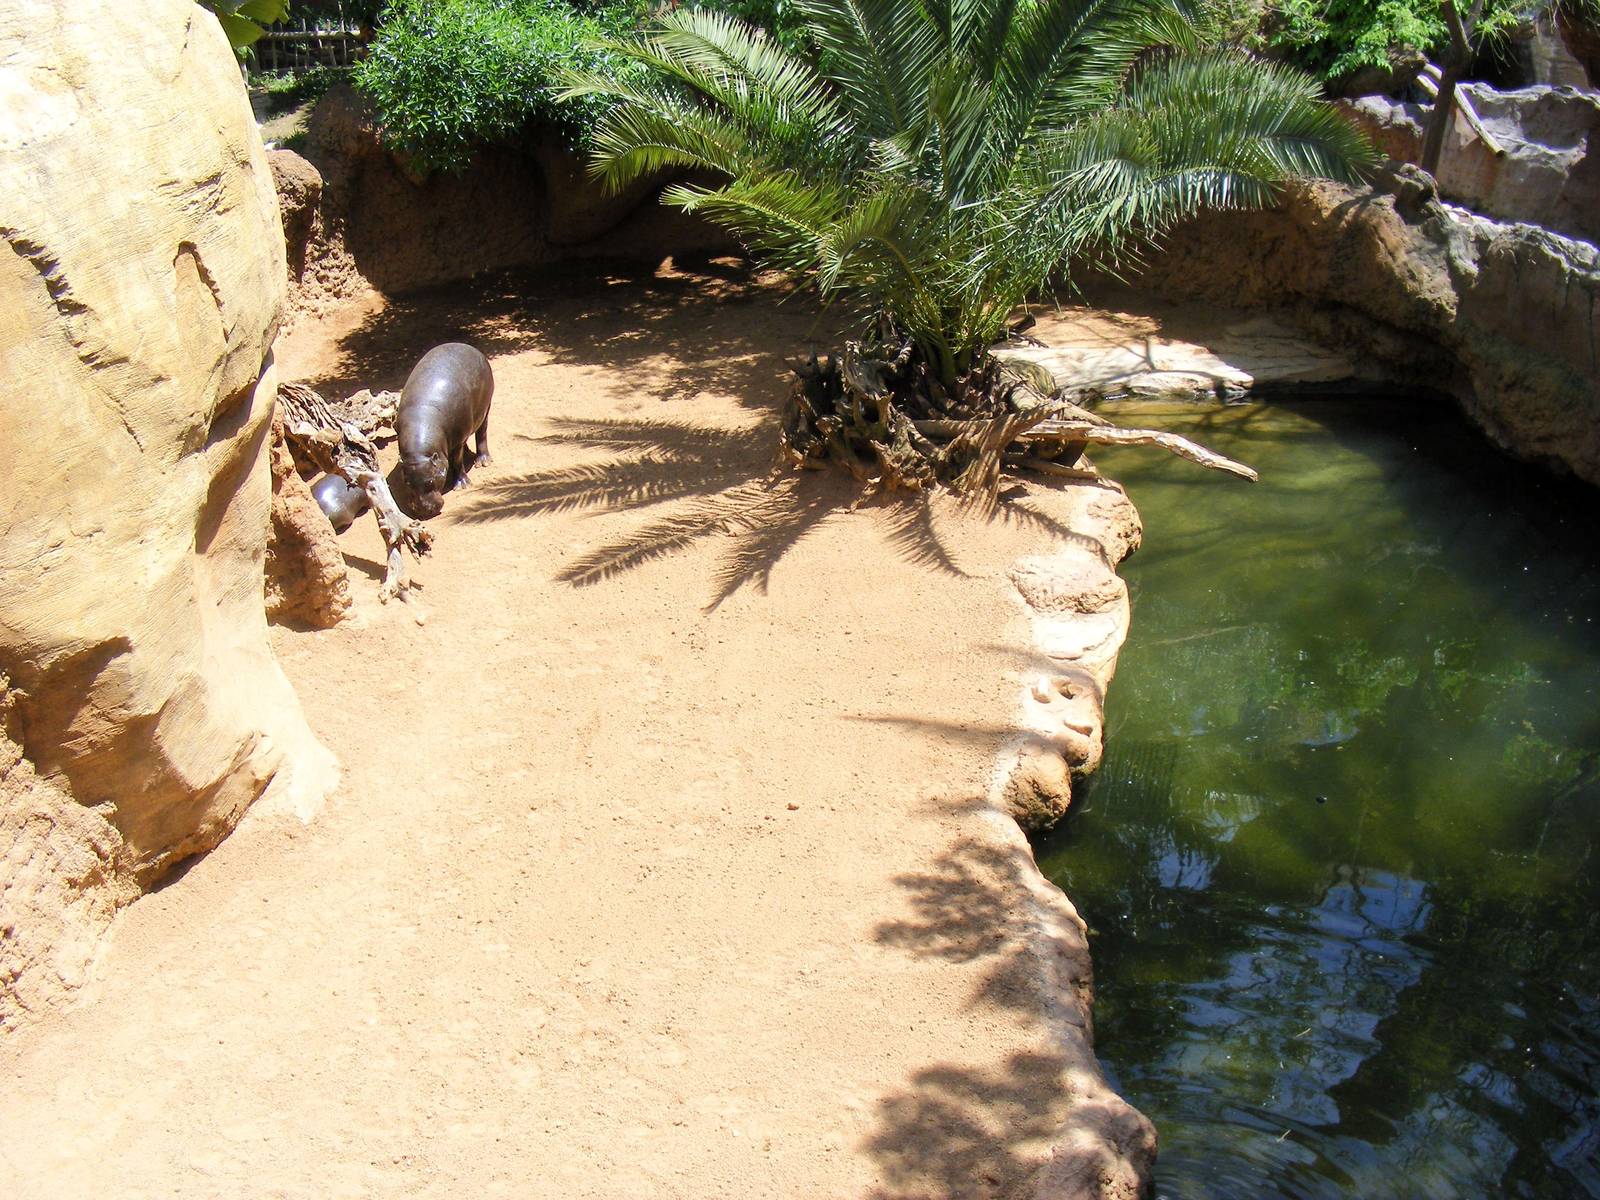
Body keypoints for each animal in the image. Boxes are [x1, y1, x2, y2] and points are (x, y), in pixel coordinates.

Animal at [395, 342, 493, 519]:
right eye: (407, 482)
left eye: (430, 482)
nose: (423, 511)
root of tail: (469, 347)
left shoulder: (458, 440)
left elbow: (457, 461)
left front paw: (462, 486)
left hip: (486, 408)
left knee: (482, 433)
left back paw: (482, 462)